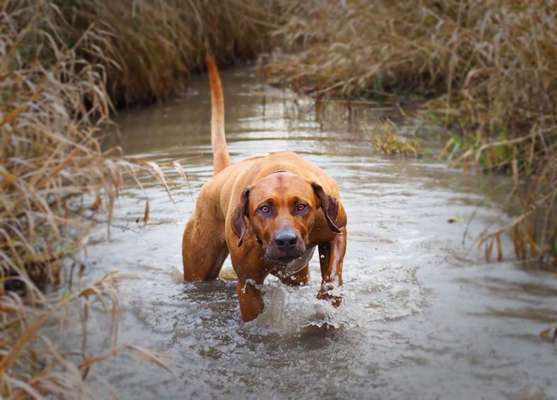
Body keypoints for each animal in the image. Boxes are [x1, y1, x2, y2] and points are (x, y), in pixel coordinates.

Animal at [182, 56, 346, 322]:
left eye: (302, 206)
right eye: (264, 209)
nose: (286, 240)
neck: (279, 170)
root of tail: (220, 175)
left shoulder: (335, 227)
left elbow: (332, 273)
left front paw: (327, 300)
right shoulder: (248, 284)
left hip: (297, 275)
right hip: (198, 268)